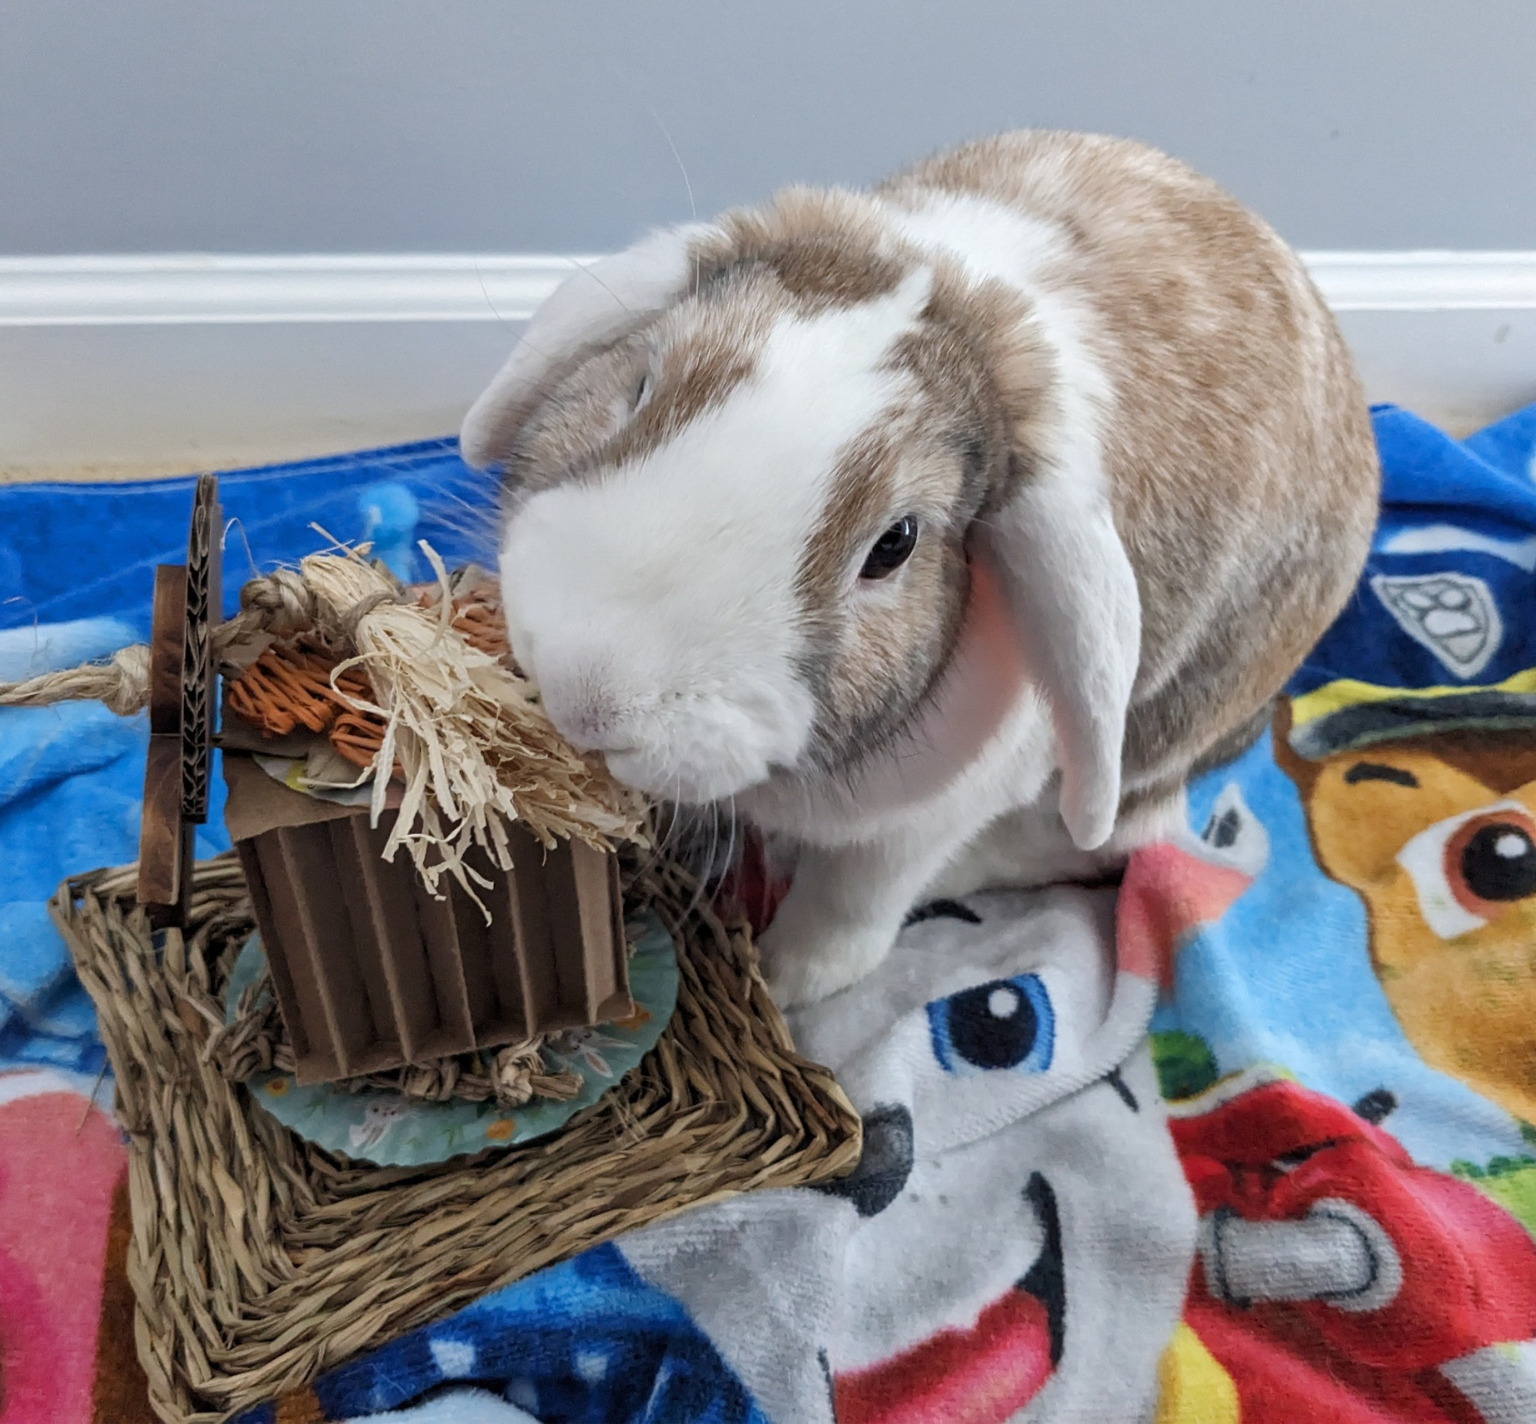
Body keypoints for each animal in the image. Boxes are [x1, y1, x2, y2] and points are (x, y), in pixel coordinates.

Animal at [460, 130, 1379, 1007]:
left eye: (895, 544)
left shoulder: (922, 823)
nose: (584, 694)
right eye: (642, 385)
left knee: (1107, 842)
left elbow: (852, 900)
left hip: (1149, 753)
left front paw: (788, 979)